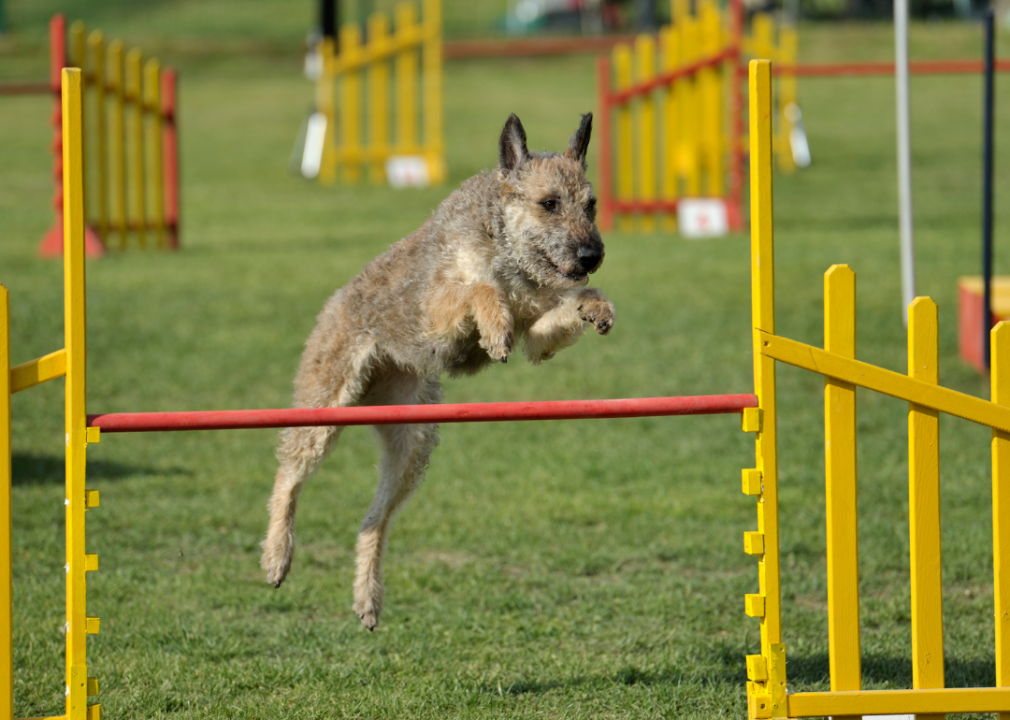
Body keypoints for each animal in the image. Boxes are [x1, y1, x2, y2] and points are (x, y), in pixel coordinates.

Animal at [260, 112, 614, 630]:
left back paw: (368, 598)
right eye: (549, 203)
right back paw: (276, 556)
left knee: (374, 520)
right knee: (288, 476)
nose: (593, 255)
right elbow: (479, 290)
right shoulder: (436, 311)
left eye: (591, 205)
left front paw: (596, 306)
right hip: (323, 411)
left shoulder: (538, 330)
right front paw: (494, 328)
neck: (503, 245)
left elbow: (562, 309)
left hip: (413, 444)